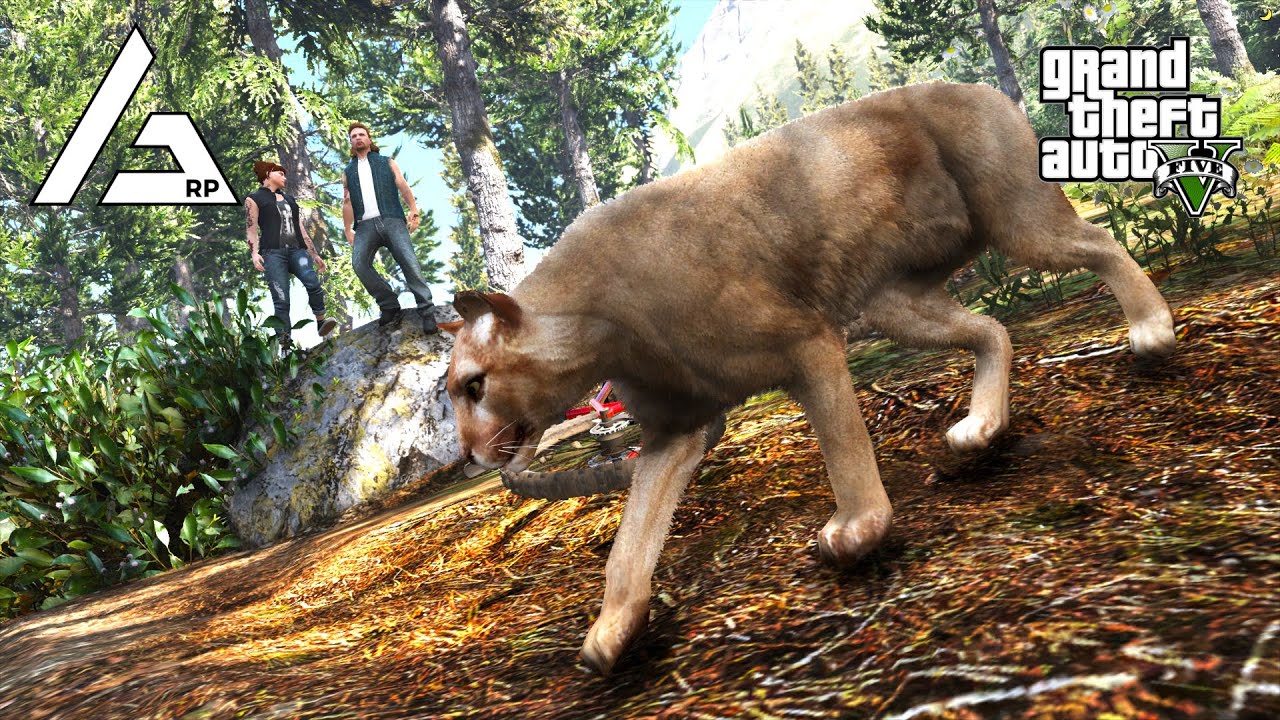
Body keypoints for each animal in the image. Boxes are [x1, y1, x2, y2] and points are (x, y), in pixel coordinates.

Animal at [438, 82, 1175, 675]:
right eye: (451, 393)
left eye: (474, 384)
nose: (470, 455)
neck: (598, 322)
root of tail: (973, 84)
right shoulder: (676, 430)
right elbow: (632, 538)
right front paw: (614, 630)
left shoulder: (806, 346)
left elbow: (844, 449)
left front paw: (857, 529)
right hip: (892, 299)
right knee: (993, 327)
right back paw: (980, 427)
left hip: (1017, 219)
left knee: (1100, 244)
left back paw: (1151, 329)